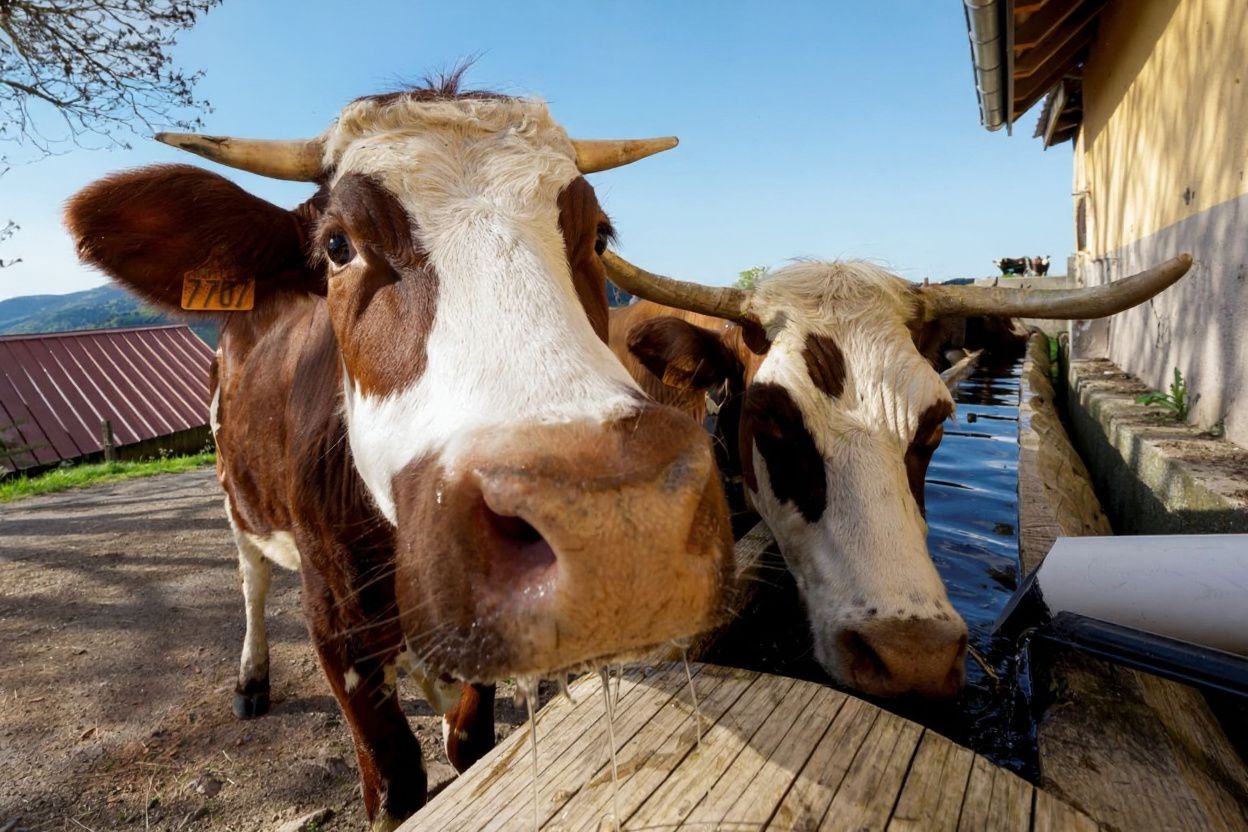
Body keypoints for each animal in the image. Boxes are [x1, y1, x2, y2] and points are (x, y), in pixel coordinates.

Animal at [65, 78, 735, 828]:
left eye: (598, 234)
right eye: (338, 246)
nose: (618, 524)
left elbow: (471, 744)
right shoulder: (335, 619)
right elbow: (392, 781)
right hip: (234, 490)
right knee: (250, 576)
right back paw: (252, 677)